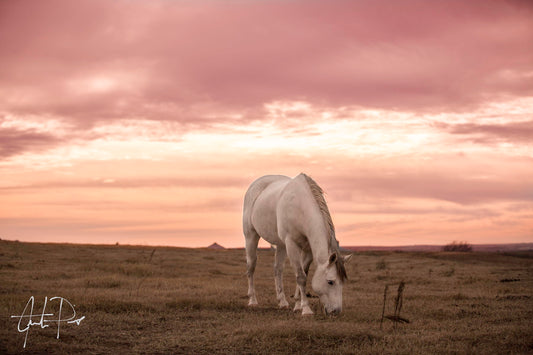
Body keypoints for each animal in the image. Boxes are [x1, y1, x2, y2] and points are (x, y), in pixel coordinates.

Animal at [243, 174, 352, 316]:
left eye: (343, 281)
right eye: (330, 282)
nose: (336, 311)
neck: (300, 207)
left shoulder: (308, 250)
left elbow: (303, 273)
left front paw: (297, 305)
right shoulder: (291, 245)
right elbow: (301, 277)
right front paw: (306, 309)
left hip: (281, 245)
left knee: (278, 269)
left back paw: (282, 302)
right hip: (251, 236)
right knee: (251, 266)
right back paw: (252, 301)